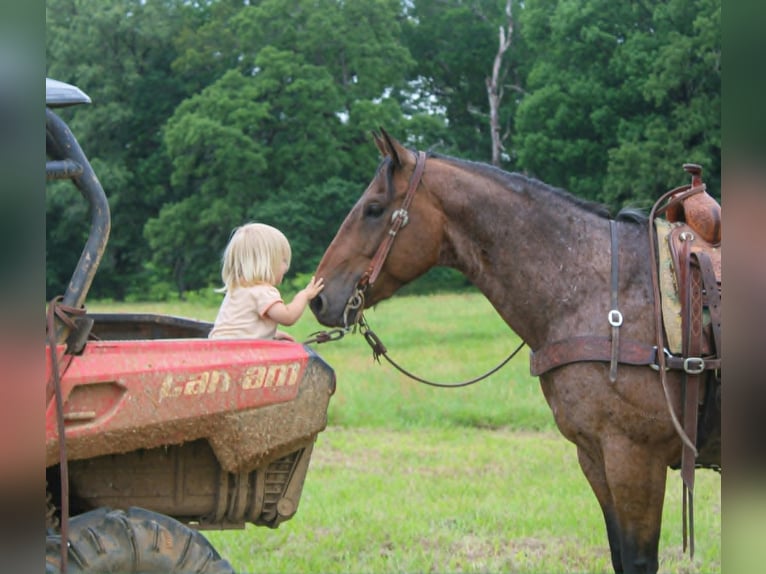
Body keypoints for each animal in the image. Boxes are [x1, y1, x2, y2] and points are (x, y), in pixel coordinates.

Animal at [309, 129, 720, 574]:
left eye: (373, 209)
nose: (317, 298)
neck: (601, 294)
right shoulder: (596, 457)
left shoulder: (634, 459)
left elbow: (638, 560)